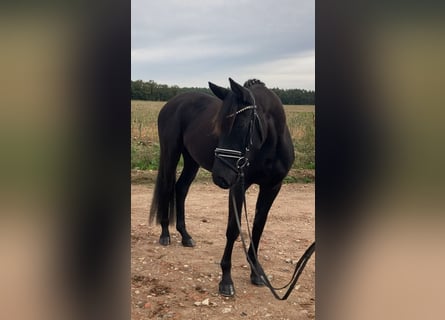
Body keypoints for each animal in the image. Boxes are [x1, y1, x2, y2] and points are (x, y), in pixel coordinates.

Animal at [149, 78, 294, 298]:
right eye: (218, 126)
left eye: (241, 125)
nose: (220, 177)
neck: (271, 146)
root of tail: (171, 103)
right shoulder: (237, 187)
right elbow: (233, 229)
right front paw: (226, 279)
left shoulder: (272, 187)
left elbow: (258, 228)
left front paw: (256, 273)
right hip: (170, 154)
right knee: (167, 188)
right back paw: (165, 234)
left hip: (191, 160)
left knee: (181, 189)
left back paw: (185, 236)